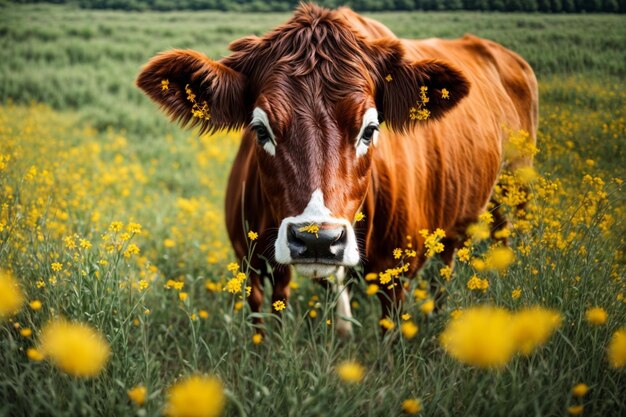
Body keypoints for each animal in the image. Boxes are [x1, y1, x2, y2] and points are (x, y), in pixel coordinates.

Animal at [136, 4, 536, 334]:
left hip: (512, 189)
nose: (317, 238)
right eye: (260, 129)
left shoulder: (396, 274)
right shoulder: (253, 264)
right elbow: (269, 326)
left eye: (370, 129)